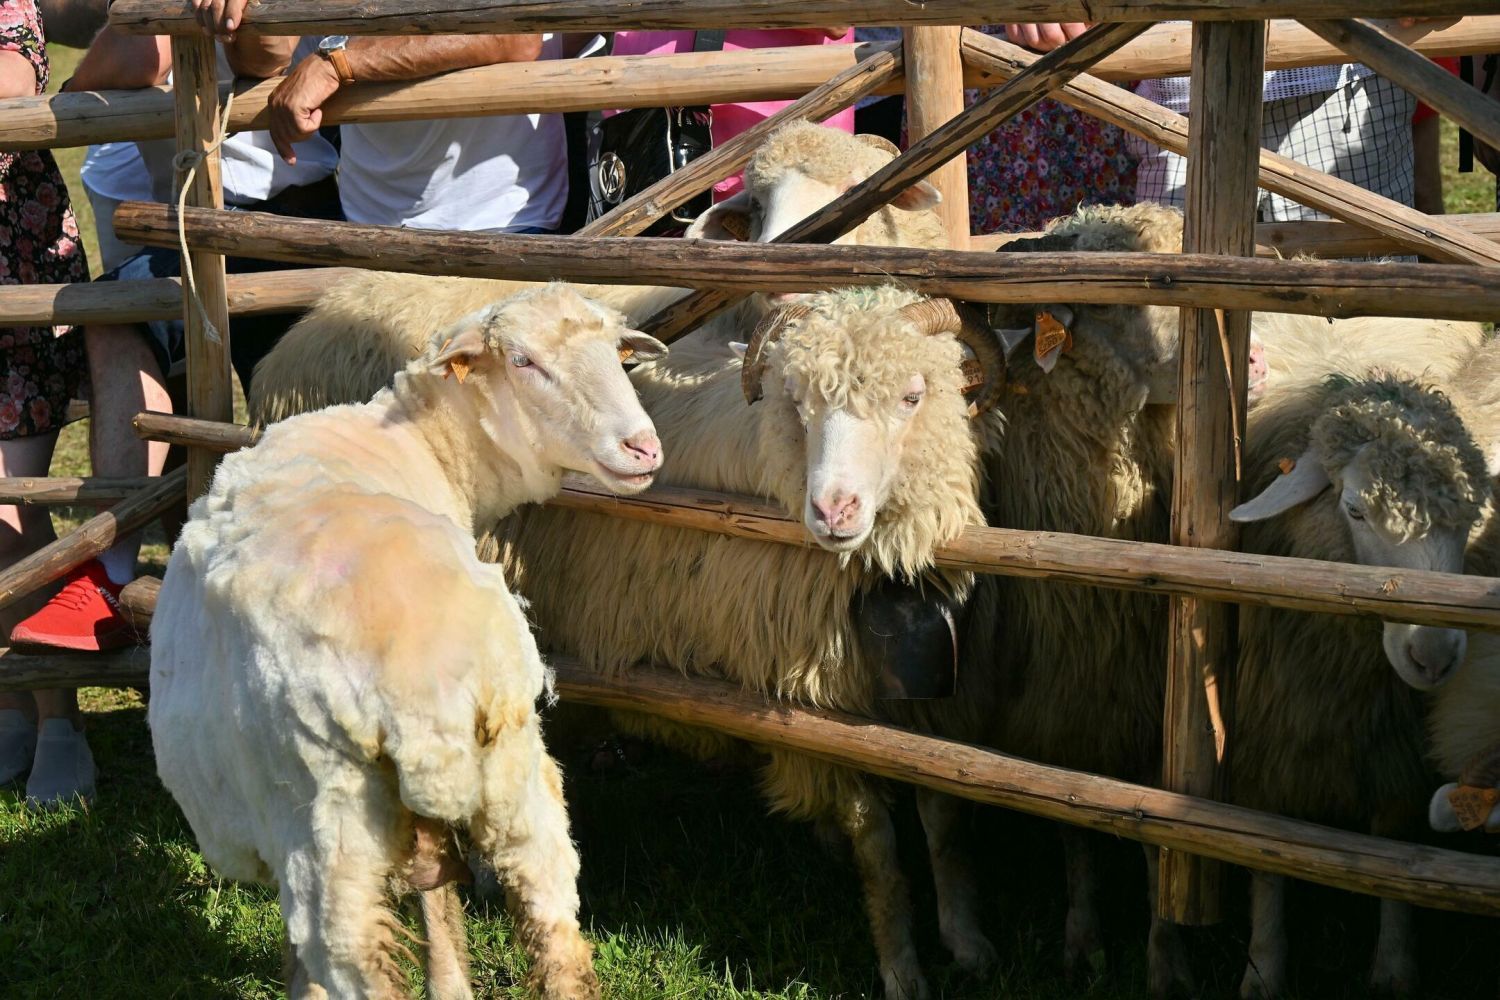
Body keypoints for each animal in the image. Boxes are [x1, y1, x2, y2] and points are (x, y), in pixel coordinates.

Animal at [148, 284, 669, 1000]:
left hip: (332, 831)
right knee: (556, 938)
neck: (422, 443)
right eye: (525, 361)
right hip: (513, 778)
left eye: (619, 354)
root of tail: (429, 685)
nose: (642, 448)